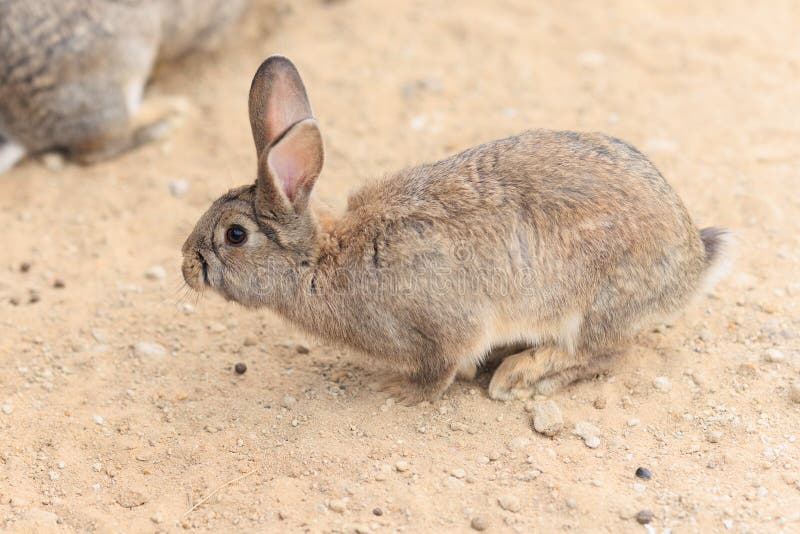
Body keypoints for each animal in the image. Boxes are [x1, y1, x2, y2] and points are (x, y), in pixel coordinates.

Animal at [181, 56, 732, 405]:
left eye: (234, 235)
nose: (185, 265)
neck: (321, 259)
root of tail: (691, 260)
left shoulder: (441, 326)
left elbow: (439, 370)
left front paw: (398, 392)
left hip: (595, 304)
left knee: (608, 352)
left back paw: (519, 376)